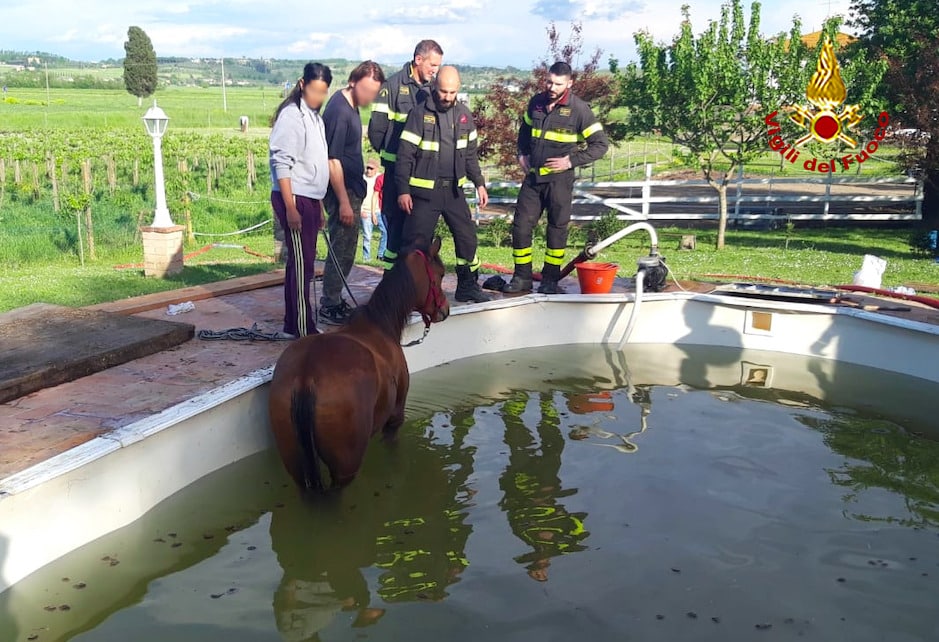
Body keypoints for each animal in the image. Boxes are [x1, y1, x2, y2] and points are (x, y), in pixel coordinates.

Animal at [268, 238, 452, 492]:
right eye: (441, 274)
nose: (445, 310)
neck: (379, 323)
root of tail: (306, 377)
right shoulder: (394, 419)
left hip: (298, 469)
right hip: (345, 467)